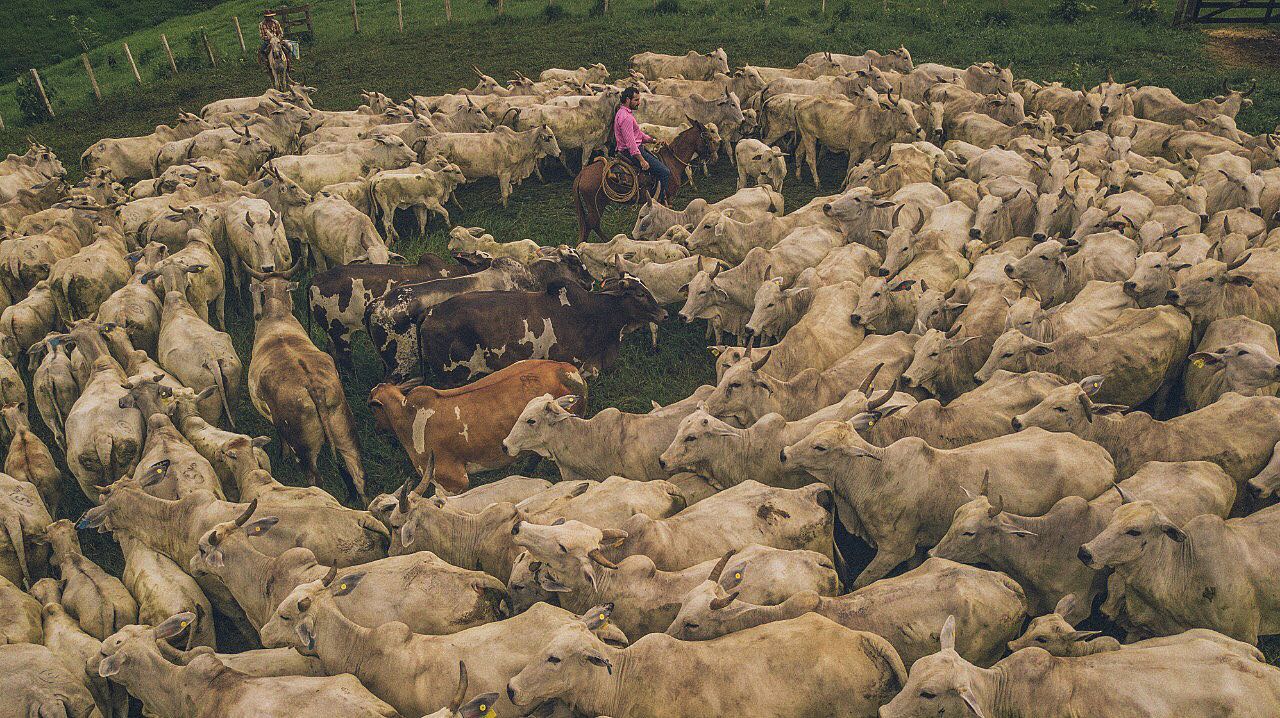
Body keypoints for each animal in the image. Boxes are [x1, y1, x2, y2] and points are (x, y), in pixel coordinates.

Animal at [576, 122, 716, 243]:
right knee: (592, 224)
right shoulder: (669, 197)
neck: (672, 162)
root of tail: (582, 173)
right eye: (709, 137)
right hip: (596, 204)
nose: (713, 155)